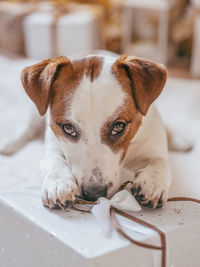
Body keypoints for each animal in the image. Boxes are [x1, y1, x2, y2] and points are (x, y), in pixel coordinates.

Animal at [0, 54, 173, 209]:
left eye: (118, 126)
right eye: (68, 128)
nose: (93, 193)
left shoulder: (153, 143)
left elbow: (160, 160)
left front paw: (153, 182)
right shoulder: (53, 143)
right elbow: (53, 159)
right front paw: (58, 183)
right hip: (36, 112)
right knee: (27, 128)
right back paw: (10, 144)